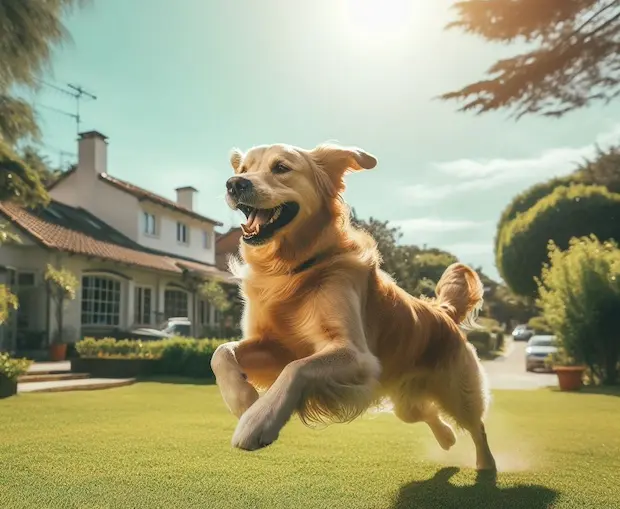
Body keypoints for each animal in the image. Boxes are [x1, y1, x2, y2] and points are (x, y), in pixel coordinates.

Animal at [211, 141, 496, 470]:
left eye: (281, 167)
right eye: (244, 169)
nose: (234, 184)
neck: (294, 270)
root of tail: (443, 312)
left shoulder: (357, 356)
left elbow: (297, 368)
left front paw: (258, 421)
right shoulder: (275, 346)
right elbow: (220, 353)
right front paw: (243, 400)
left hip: (458, 392)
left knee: (477, 425)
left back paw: (486, 464)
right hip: (403, 398)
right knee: (423, 411)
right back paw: (447, 437)